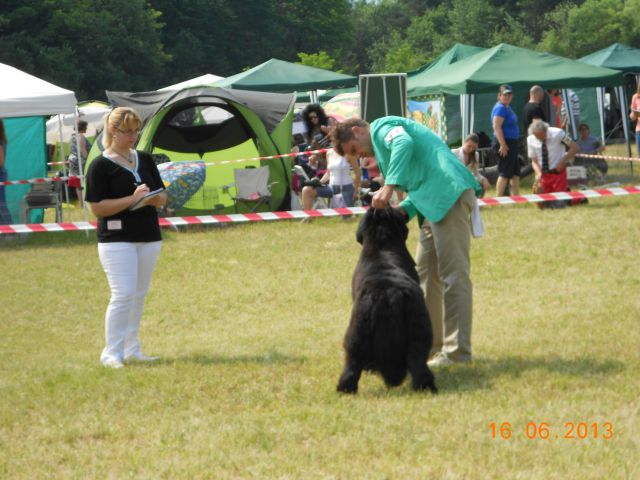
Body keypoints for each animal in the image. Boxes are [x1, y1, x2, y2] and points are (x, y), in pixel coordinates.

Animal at [338, 207, 438, 394]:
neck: (382, 247)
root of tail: (390, 294)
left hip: (359, 328)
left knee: (353, 360)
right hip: (418, 326)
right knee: (417, 359)